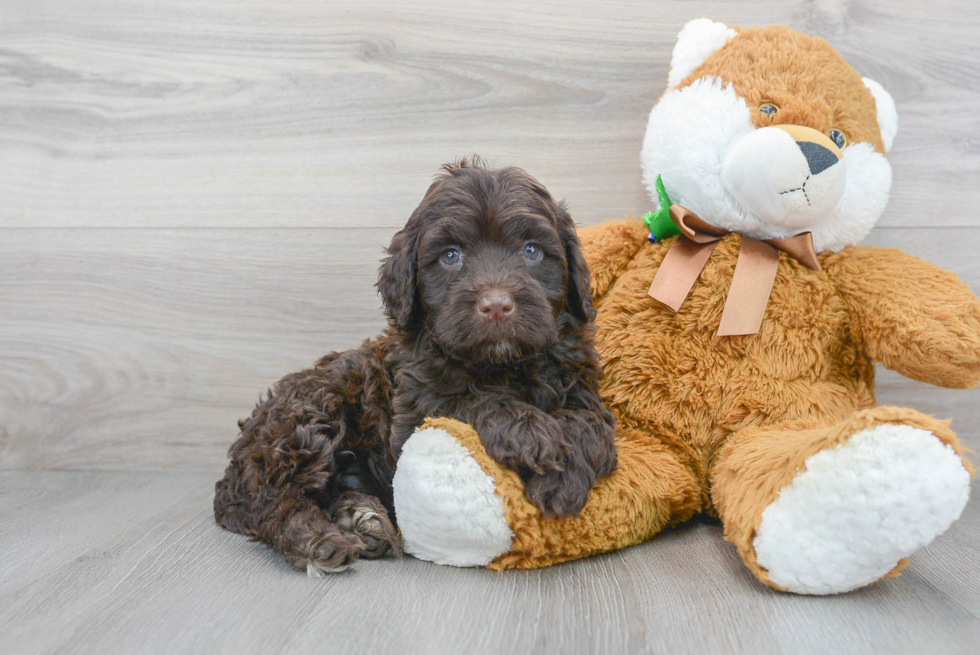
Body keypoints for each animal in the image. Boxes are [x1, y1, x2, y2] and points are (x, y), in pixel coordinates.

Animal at [212, 158, 612, 576]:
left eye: (532, 250)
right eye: (451, 256)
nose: (496, 305)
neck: (500, 364)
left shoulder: (581, 384)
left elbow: (590, 421)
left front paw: (564, 476)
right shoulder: (415, 411)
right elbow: (471, 402)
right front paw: (535, 437)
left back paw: (360, 518)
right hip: (309, 415)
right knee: (273, 500)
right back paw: (319, 539)